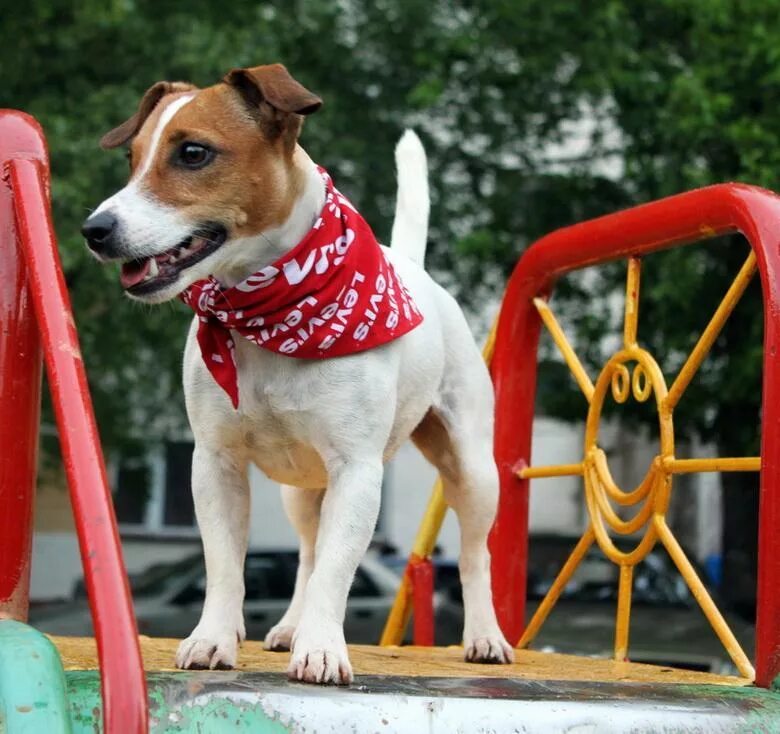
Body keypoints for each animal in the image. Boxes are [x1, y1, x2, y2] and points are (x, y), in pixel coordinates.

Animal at [82, 64, 516, 688]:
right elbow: (226, 565)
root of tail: (415, 271)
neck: (270, 310)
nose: (94, 229)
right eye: (131, 158)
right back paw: (290, 625)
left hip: (474, 470)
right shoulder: (215, 464)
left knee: (475, 552)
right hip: (300, 489)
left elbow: (339, 570)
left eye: (193, 153)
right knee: (308, 552)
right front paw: (214, 638)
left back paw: (483, 635)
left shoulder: (357, 472)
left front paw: (322, 648)